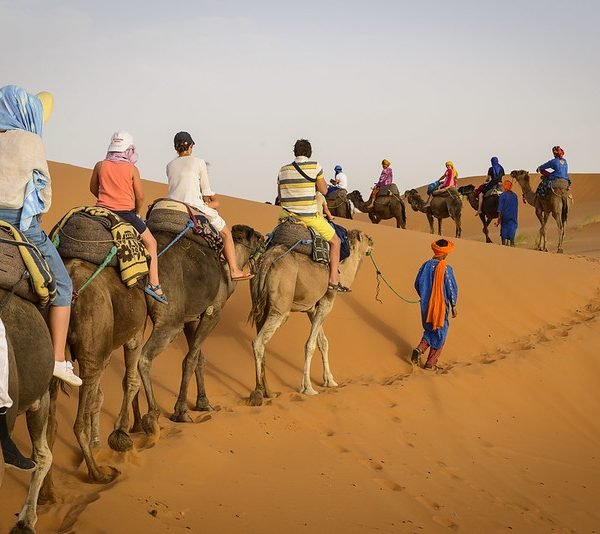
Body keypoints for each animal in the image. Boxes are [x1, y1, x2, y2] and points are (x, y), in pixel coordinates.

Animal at [139, 224, 264, 438]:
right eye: (257, 237)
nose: (265, 240)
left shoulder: (192, 317)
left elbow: (199, 357)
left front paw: (203, 403)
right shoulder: (213, 313)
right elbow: (190, 359)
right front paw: (181, 411)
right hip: (169, 319)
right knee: (144, 358)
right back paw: (151, 417)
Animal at [247, 228, 372, 408]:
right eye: (367, 238)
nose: (373, 242)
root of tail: (267, 261)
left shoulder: (312, 309)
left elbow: (323, 342)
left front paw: (330, 381)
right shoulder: (327, 302)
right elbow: (310, 345)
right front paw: (308, 388)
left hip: (259, 304)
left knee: (262, 340)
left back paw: (269, 392)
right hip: (281, 309)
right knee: (258, 342)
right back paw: (258, 393)